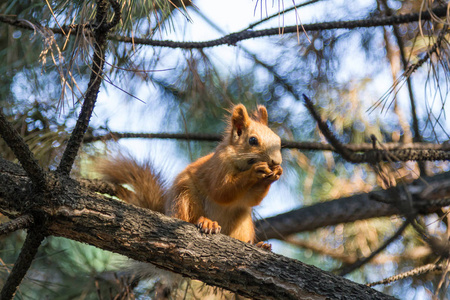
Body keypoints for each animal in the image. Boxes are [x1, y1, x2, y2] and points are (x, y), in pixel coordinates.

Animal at [99, 103, 282, 248]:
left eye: (278, 140)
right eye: (252, 141)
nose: (276, 161)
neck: (241, 164)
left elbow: (252, 199)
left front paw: (275, 173)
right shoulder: (218, 166)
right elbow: (222, 191)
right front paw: (256, 171)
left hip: (243, 220)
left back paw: (258, 245)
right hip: (185, 196)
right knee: (188, 218)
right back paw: (206, 223)